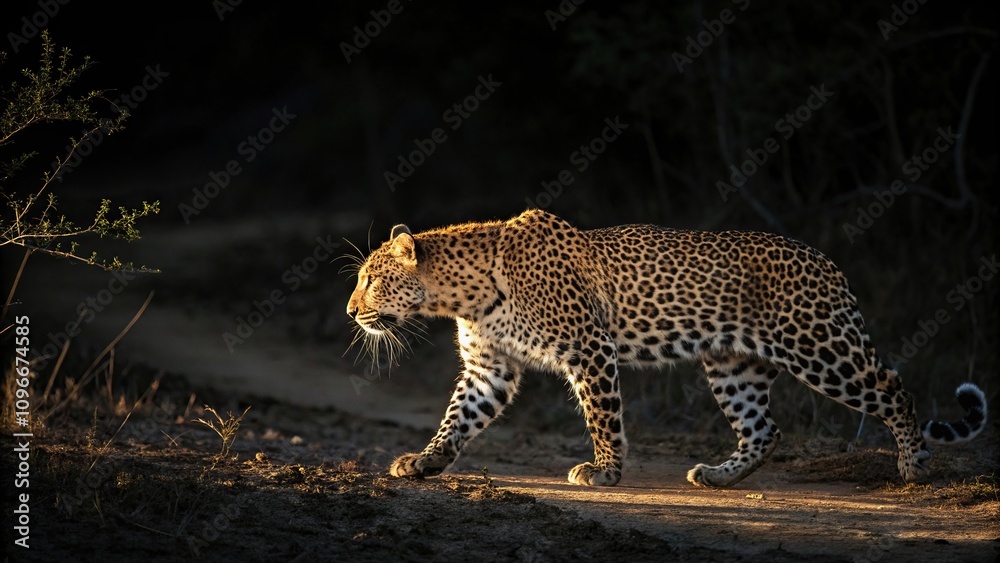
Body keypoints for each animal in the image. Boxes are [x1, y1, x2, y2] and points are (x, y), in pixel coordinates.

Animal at [345, 209, 988, 488]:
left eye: (372, 279)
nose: (350, 311)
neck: (463, 294)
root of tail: (828, 263)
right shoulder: (488, 367)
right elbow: (457, 419)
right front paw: (424, 462)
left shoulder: (589, 348)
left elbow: (603, 416)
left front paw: (605, 471)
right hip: (734, 365)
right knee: (764, 428)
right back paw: (720, 476)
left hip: (820, 347)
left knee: (893, 388)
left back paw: (914, 466)